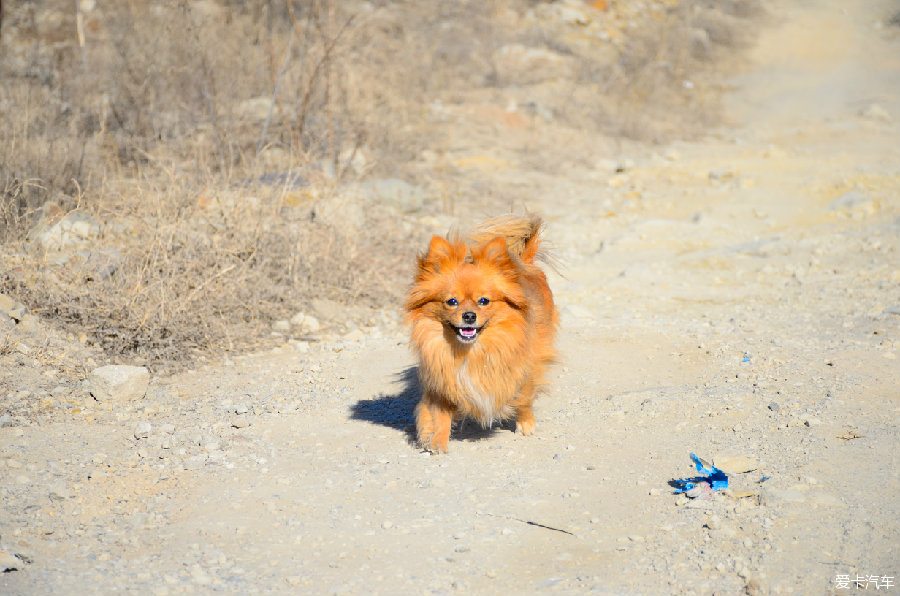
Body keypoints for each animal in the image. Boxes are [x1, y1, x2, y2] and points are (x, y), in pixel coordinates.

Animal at [406, 214, 556, 452]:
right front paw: (437, 441)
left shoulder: (526, 366)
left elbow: (524, 396)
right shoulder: (441, 380)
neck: (470, 351)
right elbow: (438, 414)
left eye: (484, 301)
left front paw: (525, 423)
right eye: (451, 302)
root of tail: (525, 262)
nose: (469, 316)